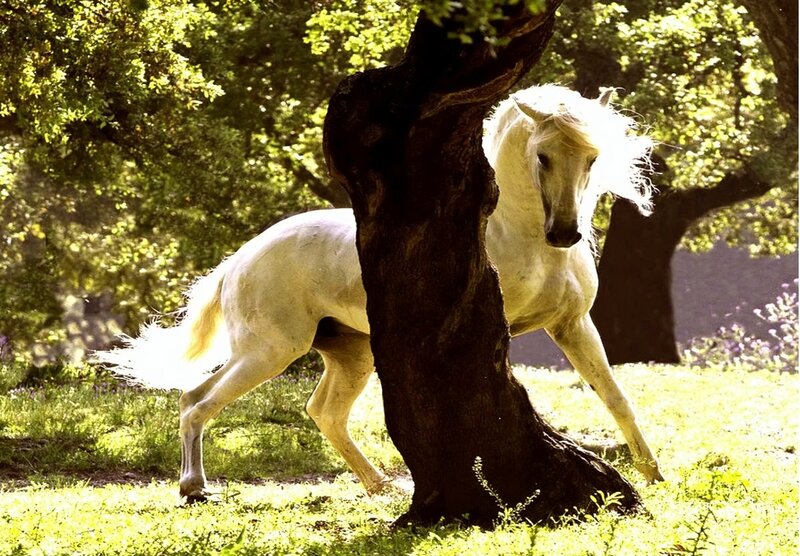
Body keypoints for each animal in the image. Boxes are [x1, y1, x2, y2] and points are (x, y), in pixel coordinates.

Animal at [96, 84, 664, 501]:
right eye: (543, 156)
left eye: (592, 157)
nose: (565, 233)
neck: (513, 234)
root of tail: (239, 261)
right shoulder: (494, 332)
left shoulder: (572, 325)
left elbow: (616, 397)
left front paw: (654, 474)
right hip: (270, 351)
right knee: (196, 400)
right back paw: (194, 488)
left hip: (351, 354)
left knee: (322, 412)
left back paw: (380, 487)